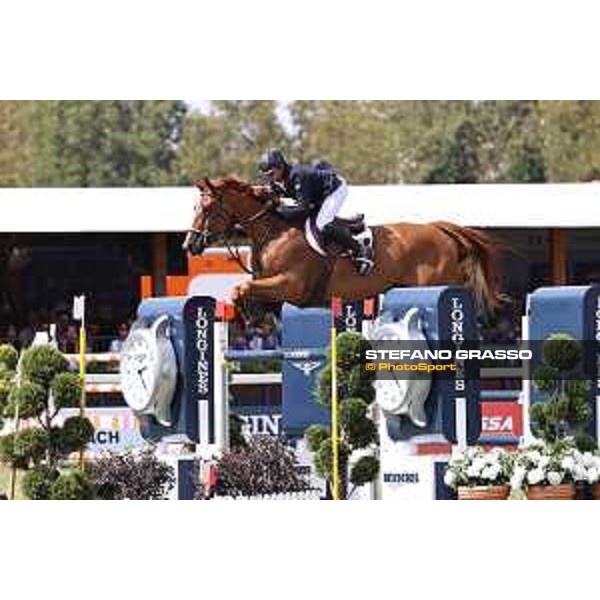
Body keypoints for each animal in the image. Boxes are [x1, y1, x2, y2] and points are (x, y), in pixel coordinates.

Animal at [182, 177, 502, 314]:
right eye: (196, 206)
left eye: (208, 208)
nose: (189, 244)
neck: (273, 232)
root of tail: (437, 228)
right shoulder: (271, 285)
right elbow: (244, 291)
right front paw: (257, 322)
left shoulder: (290, 285)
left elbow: (243, 288)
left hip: (435, 283)